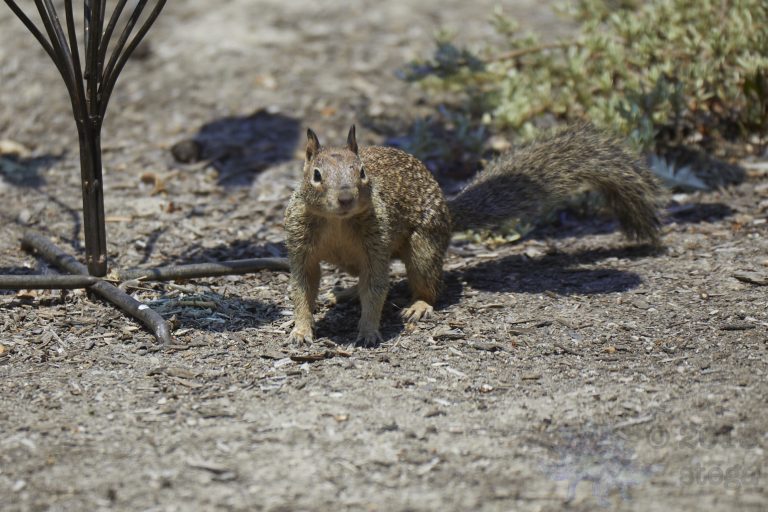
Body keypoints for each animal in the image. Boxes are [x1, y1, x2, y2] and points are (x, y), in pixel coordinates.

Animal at [284, 124, 662, 346]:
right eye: (316, 175)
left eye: (362, 172)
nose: (346, 197)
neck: (337, 221)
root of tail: (450, 213)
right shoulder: (301, 248)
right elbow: (303, 288)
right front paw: (301, 330)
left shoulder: (375, 243)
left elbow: (376, 287)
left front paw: (367, 331)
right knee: (363, 279)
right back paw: (345, 293)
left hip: (423, 247)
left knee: (427, 284)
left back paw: (418, 306)